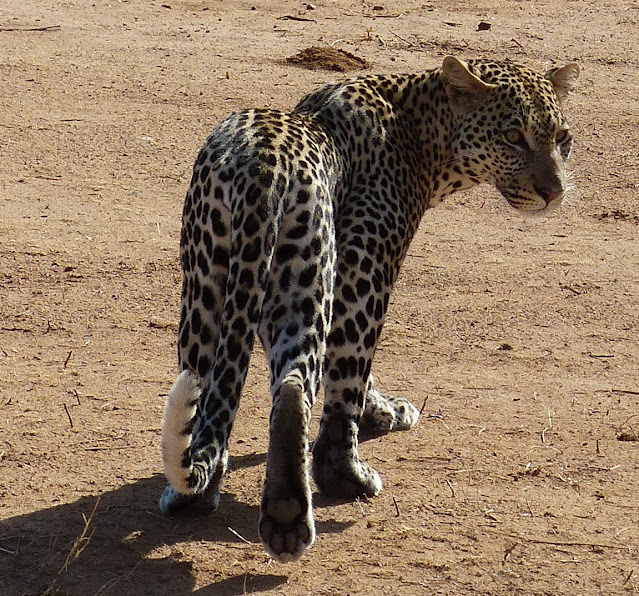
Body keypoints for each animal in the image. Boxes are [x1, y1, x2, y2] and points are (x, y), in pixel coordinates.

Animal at [159, 56, 579, 562]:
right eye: (514, 136)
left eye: (562, 137)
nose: (554, 192)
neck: (424, 129)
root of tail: (264, 167)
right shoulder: (365, 263)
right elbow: (350, 371)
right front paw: (375, 416)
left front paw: (384, 408)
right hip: (312, 268)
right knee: (298, 391)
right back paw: (318, 498)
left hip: (210, 279)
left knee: (210, 384)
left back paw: (194, 496)